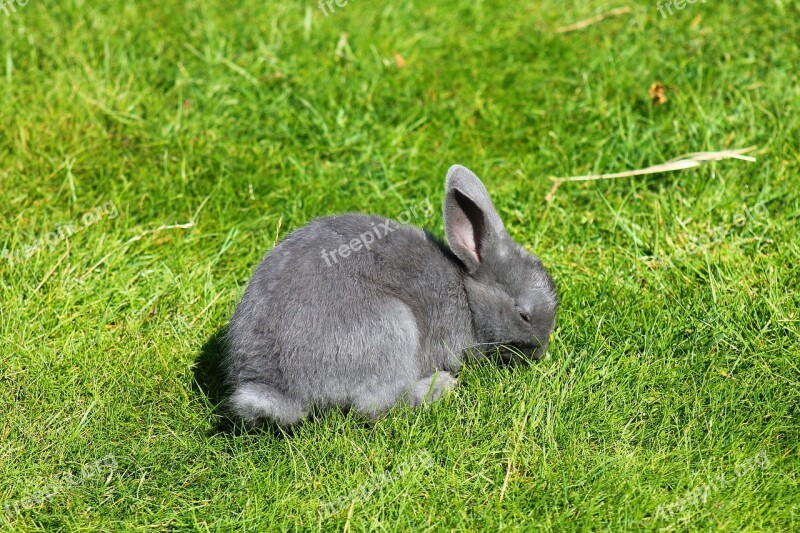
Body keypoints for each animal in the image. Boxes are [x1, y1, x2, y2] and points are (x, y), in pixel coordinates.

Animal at [223, 164, 556, 426]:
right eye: (523, 315)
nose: (539, 353)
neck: (467, 294)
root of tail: (277, 386)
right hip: (392, 325)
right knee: (375, 405)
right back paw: (440, 387)